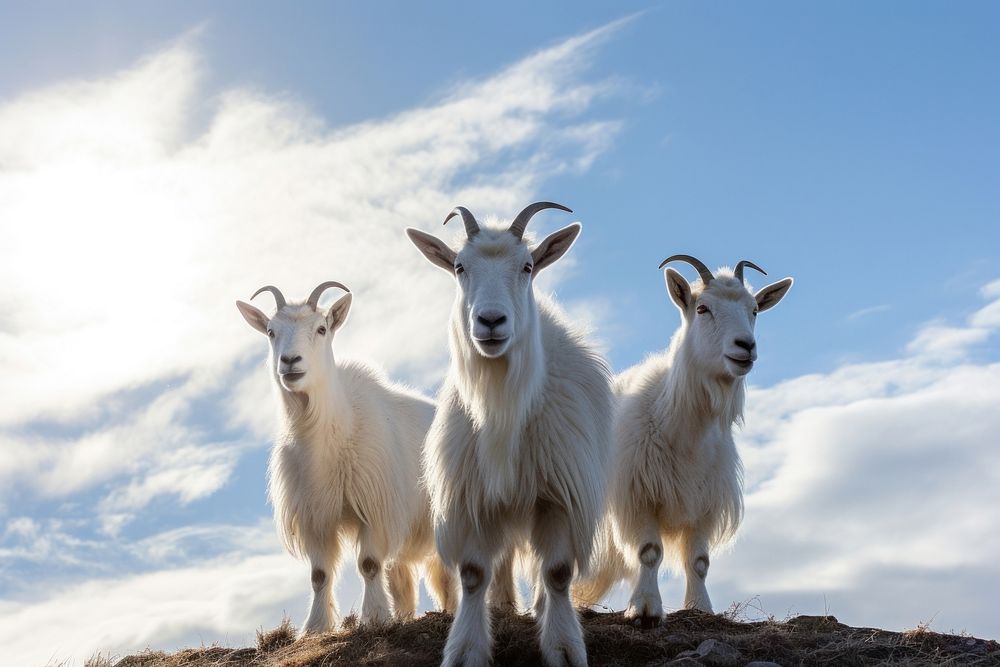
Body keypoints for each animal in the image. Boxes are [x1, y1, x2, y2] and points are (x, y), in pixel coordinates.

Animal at [236, 282, 456, 636]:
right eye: (271, 331)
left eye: (321, 328)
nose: (290, 362)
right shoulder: (317, 517)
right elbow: (319, 575)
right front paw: (315, 626)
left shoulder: (373, 507)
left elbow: (368, 564)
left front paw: (374, 618)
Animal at [404, 204, 608, 667]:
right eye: (459, 267)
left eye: (527, 266)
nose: (491, 321)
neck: (503, 406)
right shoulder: (473, 496)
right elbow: (474, 574)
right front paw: (466, 649)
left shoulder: (557, 494)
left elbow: (557, 572)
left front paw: (563, 647)